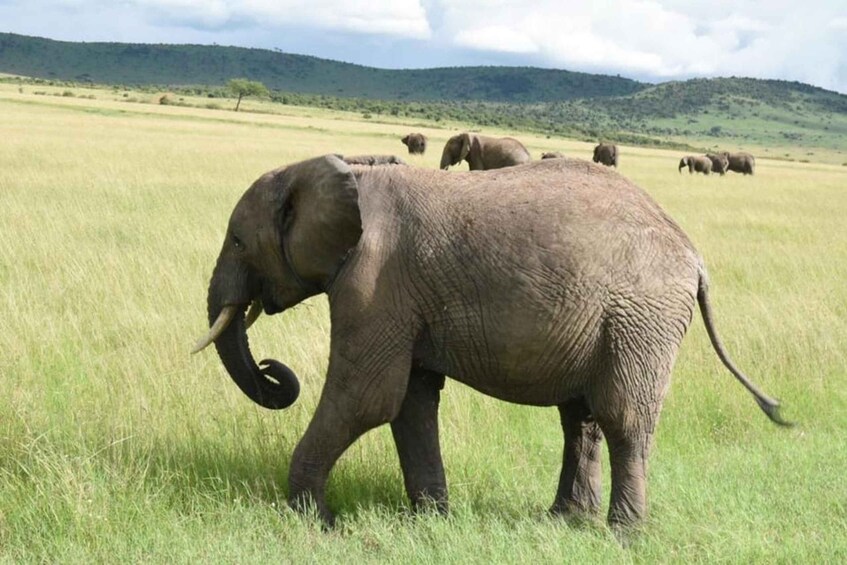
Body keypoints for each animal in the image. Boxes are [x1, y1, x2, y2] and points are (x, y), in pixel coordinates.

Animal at [193, 154, 789, 530]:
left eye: (239, 241)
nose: (271, 367)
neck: (345, 173)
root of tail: (695, 258)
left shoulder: (375, 280)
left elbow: (368, 397)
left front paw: (313, 520)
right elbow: (409, 402)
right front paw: (430, 522)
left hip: (641, 319)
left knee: (624, 419)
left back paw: (623, 535)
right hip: (609, 324)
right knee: (581, 419)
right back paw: (565, 521)